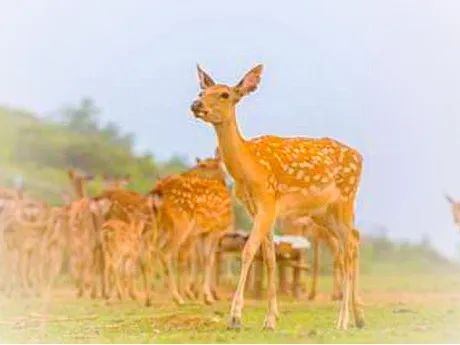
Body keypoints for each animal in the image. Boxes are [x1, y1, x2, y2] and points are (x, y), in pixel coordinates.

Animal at [190, 63, 362, 330]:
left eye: (225, 94)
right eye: (201, 92)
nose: (196, 105)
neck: (249, 170)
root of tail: (361, 157)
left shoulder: (268, 202)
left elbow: (248, 251)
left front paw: (235, 317)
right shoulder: (258, 210)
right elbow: (270, 259)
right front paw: (270, 319)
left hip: (345, 199)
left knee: (347, 250)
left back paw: (342, 321)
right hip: (324, 214)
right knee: (351, 243)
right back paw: (355, 317)